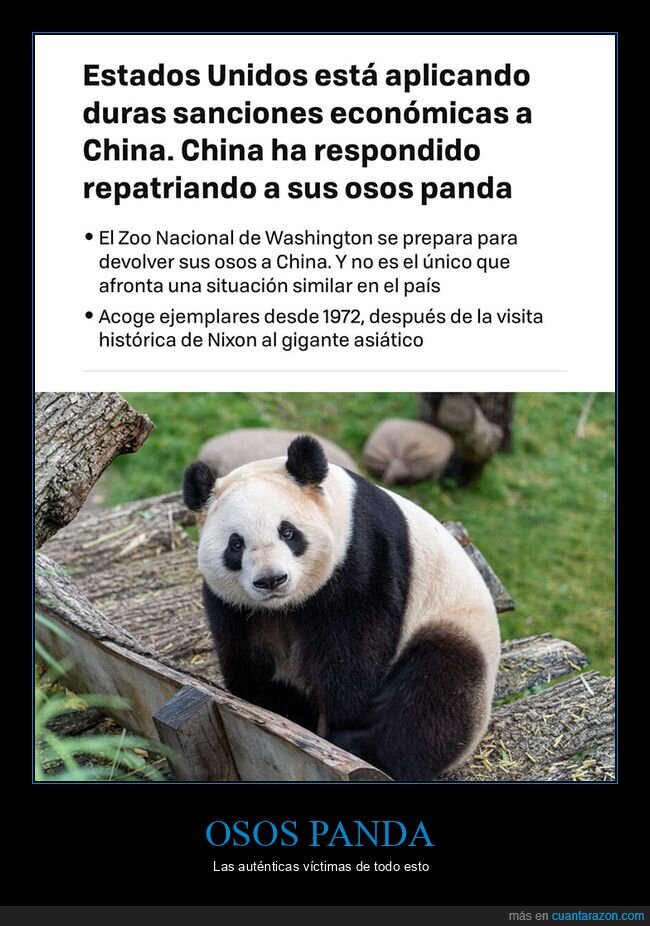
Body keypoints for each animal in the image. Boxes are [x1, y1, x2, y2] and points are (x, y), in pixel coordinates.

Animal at [183, 435, 500, 781]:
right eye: (236, 543)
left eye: (288, 531)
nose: (271, 580)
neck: (285, 606)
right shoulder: (233, 604)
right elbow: (246, 654)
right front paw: (268, 704)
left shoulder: (361, 554)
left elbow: (353, 649)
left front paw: (338, 721)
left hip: (453, 626)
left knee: (433, 693)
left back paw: (360, 747)